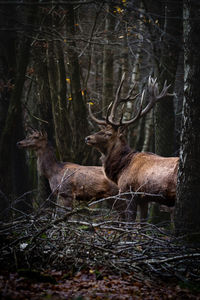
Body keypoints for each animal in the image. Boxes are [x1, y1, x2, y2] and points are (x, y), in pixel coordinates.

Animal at [85, 74, 179, 221]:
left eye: (109, 133)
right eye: (101, 129)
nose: (88, 138)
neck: (121, 169)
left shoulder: (129, 193)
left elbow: (130, 223)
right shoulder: (144, 199)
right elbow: (142, 223)